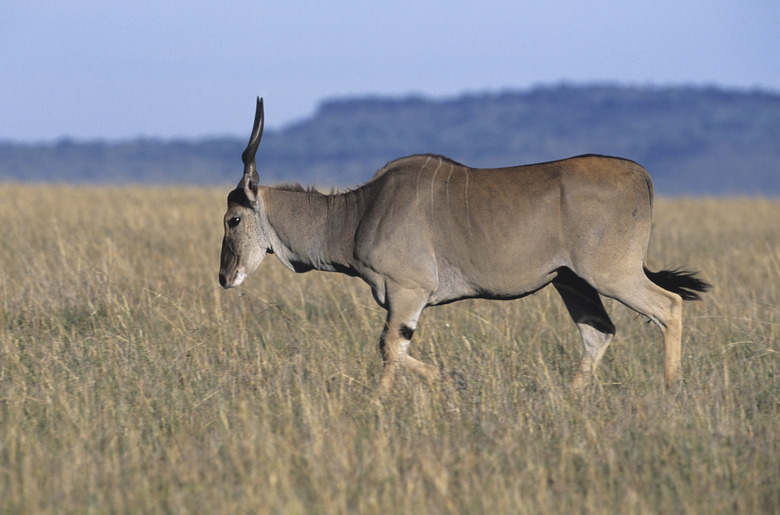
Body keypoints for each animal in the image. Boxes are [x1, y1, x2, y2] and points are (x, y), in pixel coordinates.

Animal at [218, 99, 708, 394]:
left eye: (233, 219)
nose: (225, 277)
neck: (357, 212)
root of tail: (641, 175)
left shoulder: (407, 293)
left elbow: (390, 348)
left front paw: (389, 399)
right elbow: (396, 349)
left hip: (611, 275)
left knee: (667, 307)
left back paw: (672, 390)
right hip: (572, 282)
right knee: (597, 331)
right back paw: (572, 398)